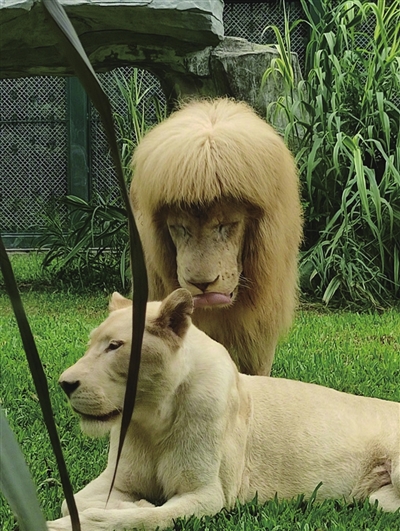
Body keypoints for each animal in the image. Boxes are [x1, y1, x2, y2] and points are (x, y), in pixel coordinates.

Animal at [47, 289, 400, 531]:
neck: (152, 419)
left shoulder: (209, 494)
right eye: (91, 343)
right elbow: (69, 502)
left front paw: (100, 518)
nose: (65, 383)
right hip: (377, 500)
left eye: (115, 346)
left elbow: (147, 517)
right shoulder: (118, 479)